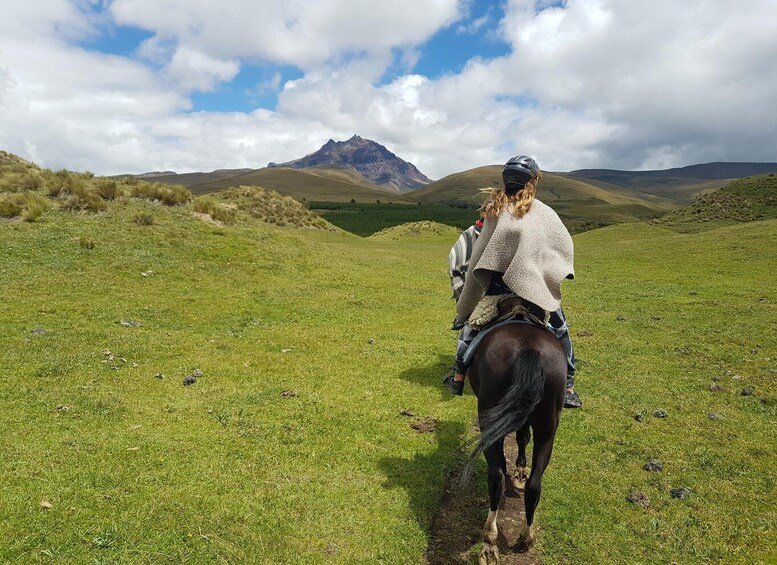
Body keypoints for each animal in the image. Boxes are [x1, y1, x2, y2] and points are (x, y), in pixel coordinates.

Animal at [460, 322, 564, 564]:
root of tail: (528, 349)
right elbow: (523, 436)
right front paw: (519, 470)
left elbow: (521, 436)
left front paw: (518, 469)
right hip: (548, 427)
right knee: (534, 484)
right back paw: (524, 537)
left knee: (497, 476)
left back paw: (490, 541)